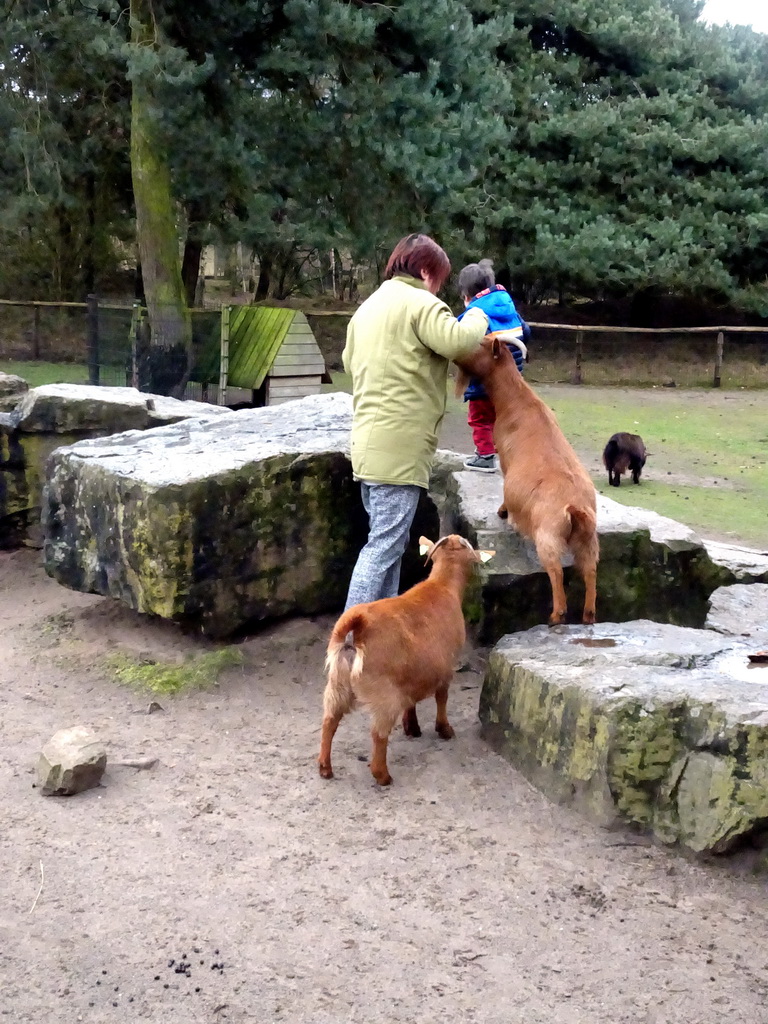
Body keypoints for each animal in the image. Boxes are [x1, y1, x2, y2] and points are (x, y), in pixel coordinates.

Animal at [317, 532, 493, 786]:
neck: (442, 585)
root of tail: (356, 629)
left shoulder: (412, 675)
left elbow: (412, 700)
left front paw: (412, 727)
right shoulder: (446, 666)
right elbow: (442, 698)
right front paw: (444, 729)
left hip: (338, 683)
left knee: (330, 720)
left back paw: (325, 768)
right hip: (383, 694)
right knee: (378, 734)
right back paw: (382, 776)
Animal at [456, 335, 602, 622]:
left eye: (481, 343)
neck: (518, 401)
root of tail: (575, 507)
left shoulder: (504, 457)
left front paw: (502, 511)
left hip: (547, 537)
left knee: (556, 571)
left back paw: (556, 616)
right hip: (588, 542)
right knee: (590, 571)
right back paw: (588, 616)